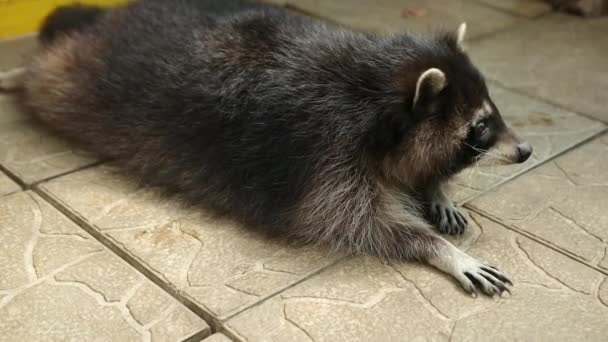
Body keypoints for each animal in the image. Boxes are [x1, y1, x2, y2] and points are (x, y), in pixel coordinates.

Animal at [16, 0, 532, 296]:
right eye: (480, 128)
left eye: (493, 111)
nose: (525, 151)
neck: (373, 85)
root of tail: (104, 21)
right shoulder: (325, 160)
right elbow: (365, 224)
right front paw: (440, 249)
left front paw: (435, 189)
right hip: (69, 86)